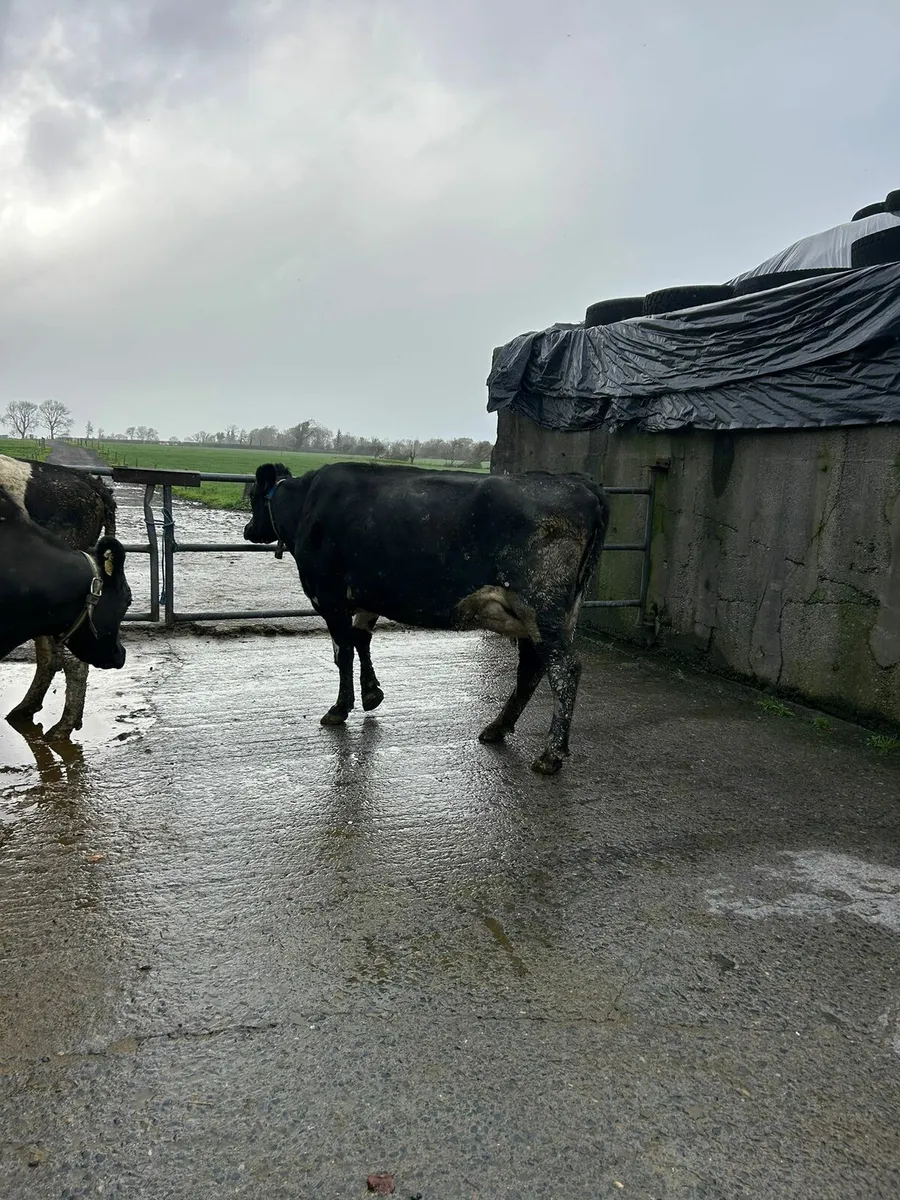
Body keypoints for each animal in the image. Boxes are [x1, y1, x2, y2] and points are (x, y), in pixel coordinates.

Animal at [243, 461, 610, 774]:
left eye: (253, 497)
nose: (248, 530)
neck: (308, 505)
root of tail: (579, 482)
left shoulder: (330, 598)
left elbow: (343, 653)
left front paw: (340, 708)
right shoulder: (368, 595)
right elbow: (362, 641)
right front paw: (372, 694)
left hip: (540, 606)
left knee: (563, 669)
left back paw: (550, 755)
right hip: (541, 615)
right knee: (531, 668)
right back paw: (497, 728)